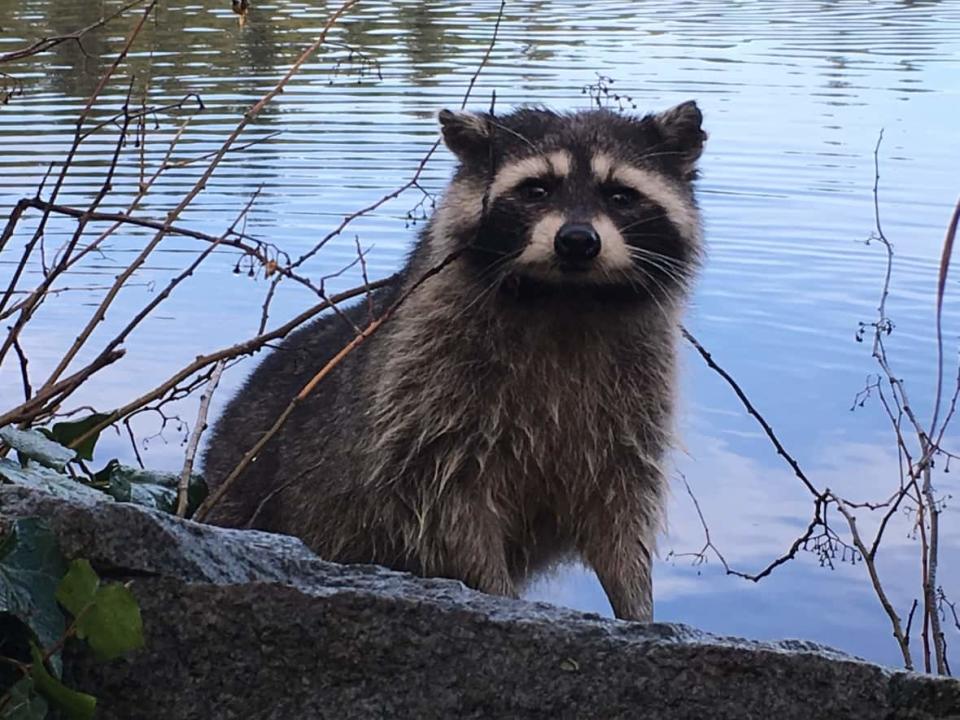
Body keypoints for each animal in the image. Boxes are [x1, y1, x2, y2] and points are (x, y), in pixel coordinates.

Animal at [201, 100, 704, 620]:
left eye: (621, 195)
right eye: (537, 189)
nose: (578, 240)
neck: (565, 298)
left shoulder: (631, 412)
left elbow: (621, 520)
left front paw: (636, 606)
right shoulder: (426, 400)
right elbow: (453, 514)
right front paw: (499, 597)